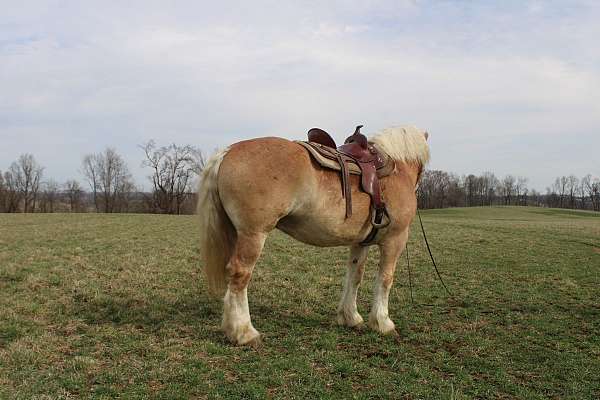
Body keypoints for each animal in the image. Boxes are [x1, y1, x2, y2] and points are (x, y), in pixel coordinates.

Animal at [199, 126, 428, 346]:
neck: (397, 169)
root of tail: (228, 151)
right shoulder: (395, 240)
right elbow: (385, 279)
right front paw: (383, 323)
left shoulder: (360, 243)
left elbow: (355, 276)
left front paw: (350, 318)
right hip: (253, 235)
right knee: (239, 275)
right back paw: (244, 332)